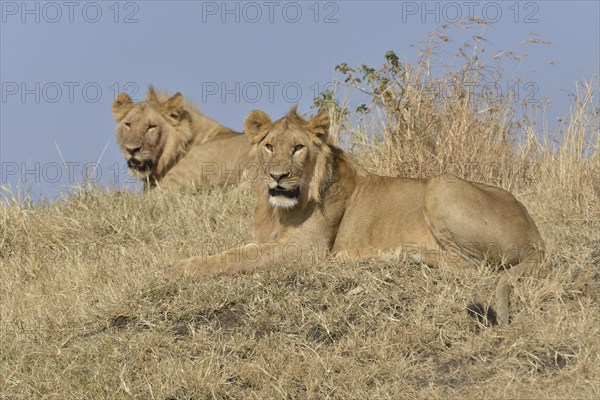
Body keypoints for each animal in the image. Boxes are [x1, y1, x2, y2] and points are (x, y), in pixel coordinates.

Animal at [168, 107, 544, 324]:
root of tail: (536, 237)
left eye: (298, 148)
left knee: (476, 266)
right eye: (269, 146)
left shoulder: (306, 250)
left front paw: (180, 268)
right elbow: (237, 251)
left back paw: (406, 253)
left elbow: (236, 259)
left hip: (440, 184)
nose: (278, 176)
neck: (279, 209)